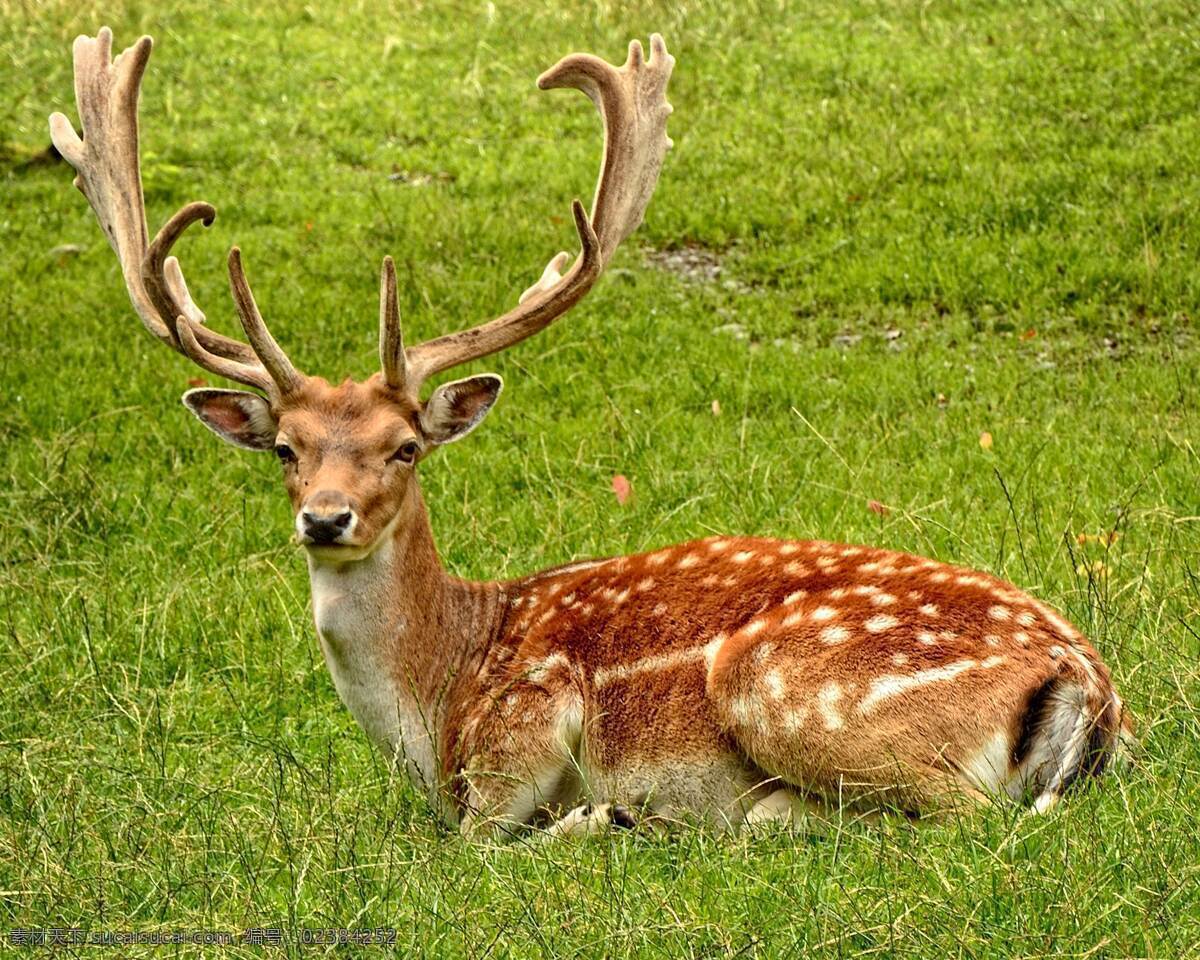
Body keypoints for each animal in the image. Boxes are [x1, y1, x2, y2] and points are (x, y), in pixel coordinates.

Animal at [49, 28, 1132, 840]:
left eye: (406, 446)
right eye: (287, 448)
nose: (325, 518)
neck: (437, 700)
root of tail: (1088, 683)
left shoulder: (524, 727)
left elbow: (477, 842)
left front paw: (596, 818)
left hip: (783, 683)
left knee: (962, 816)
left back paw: (719, 817)